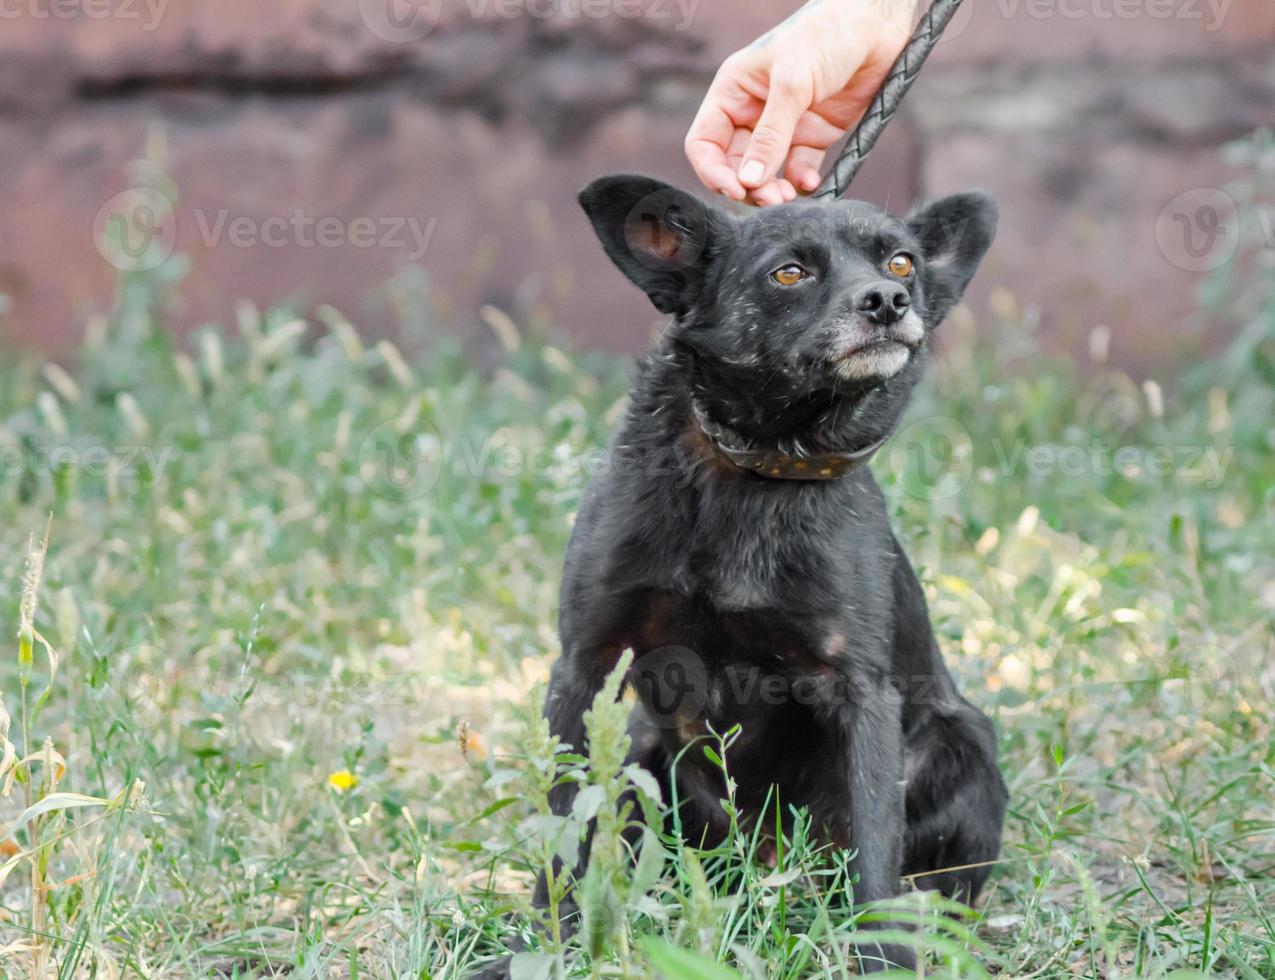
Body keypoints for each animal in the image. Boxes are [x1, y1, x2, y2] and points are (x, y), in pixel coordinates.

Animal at [515, 175, 1004, 968]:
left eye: (900, 262)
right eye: (790, 273)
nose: (888, 301)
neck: (756, 466)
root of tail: (769, 859)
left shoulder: (863, 693)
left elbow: (876, 852)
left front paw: (883, 961)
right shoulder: (583, 664)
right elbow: (565, 829)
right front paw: (546, 938)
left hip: (963, 743)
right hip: (646, 755)